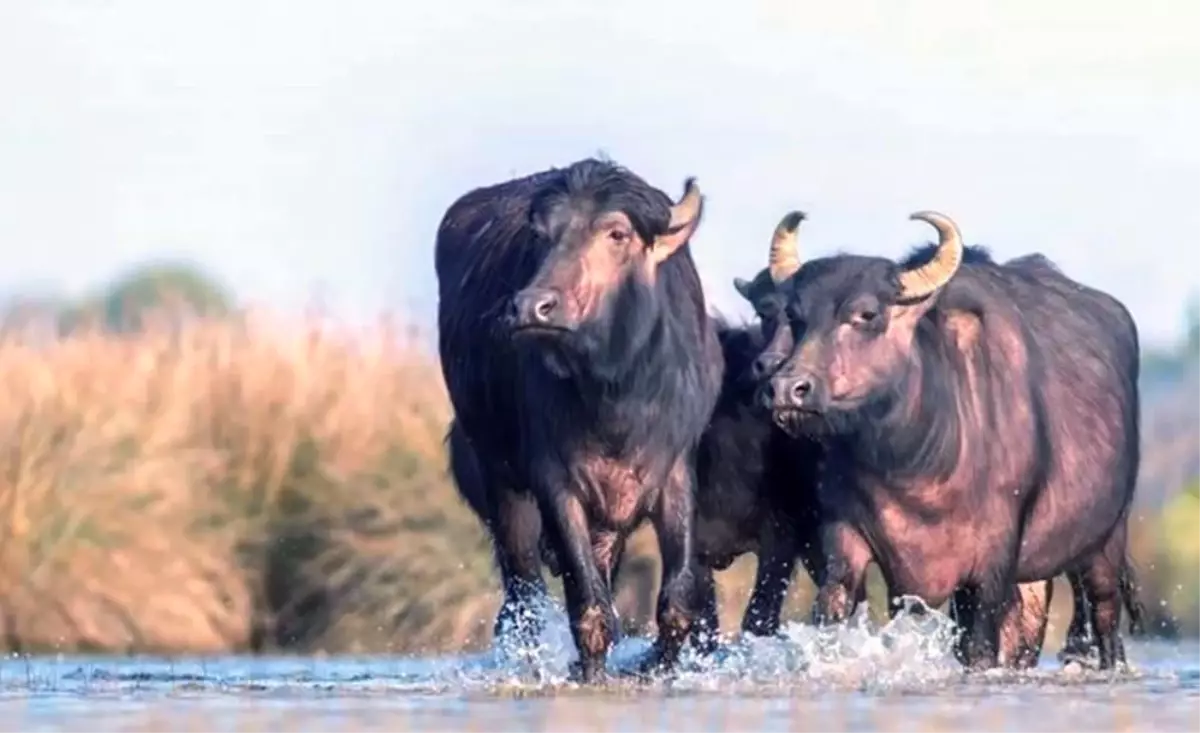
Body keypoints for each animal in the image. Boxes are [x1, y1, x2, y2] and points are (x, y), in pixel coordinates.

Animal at [439, 159, 724, 681]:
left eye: (616, 233)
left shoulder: (674, 472)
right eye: (541, 235)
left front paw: (659, 668)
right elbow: (589, 607)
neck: (616, 396)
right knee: (523, 597)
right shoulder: (554, 481)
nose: (531, 307)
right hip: (498, 482)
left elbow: (677, 602)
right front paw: (590, 673)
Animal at [758, 212, 1142, 671]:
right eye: (796, 318)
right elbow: (832, 611)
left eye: (866, 313)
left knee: (1104, 617)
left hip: (1105, 541)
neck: (913, 465)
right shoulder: (844, 539)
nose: (786, 389)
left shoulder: (991, 564)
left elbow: (979, 647)